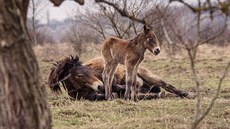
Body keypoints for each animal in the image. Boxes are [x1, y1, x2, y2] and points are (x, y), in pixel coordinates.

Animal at [48, 55, 194, 101]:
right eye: (79, 75)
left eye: (88, 70)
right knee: (148, 94)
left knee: (168, 86)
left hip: (150, 77)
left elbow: (117, 87)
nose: (99, 85)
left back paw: (186, 94)